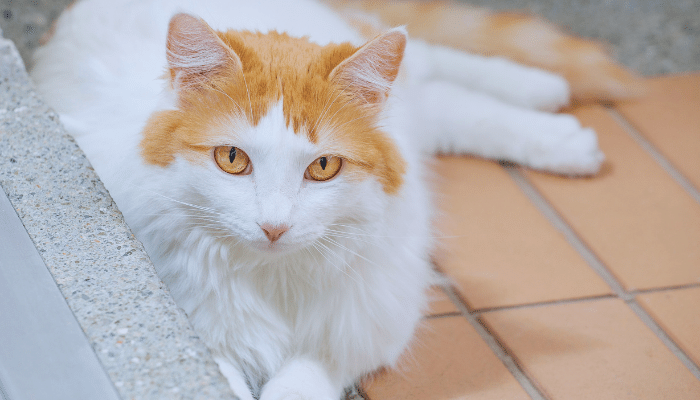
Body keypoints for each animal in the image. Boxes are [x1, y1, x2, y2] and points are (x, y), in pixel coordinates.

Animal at [31, 0, 640, 400]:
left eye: (323, 167)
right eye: (232, 159)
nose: (274, 227)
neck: (272, 278)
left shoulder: (357, 326)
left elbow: (299, 384)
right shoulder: (201, 333)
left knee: (439, 71)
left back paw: (553, 108)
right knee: (445, 97)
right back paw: (554, 110)